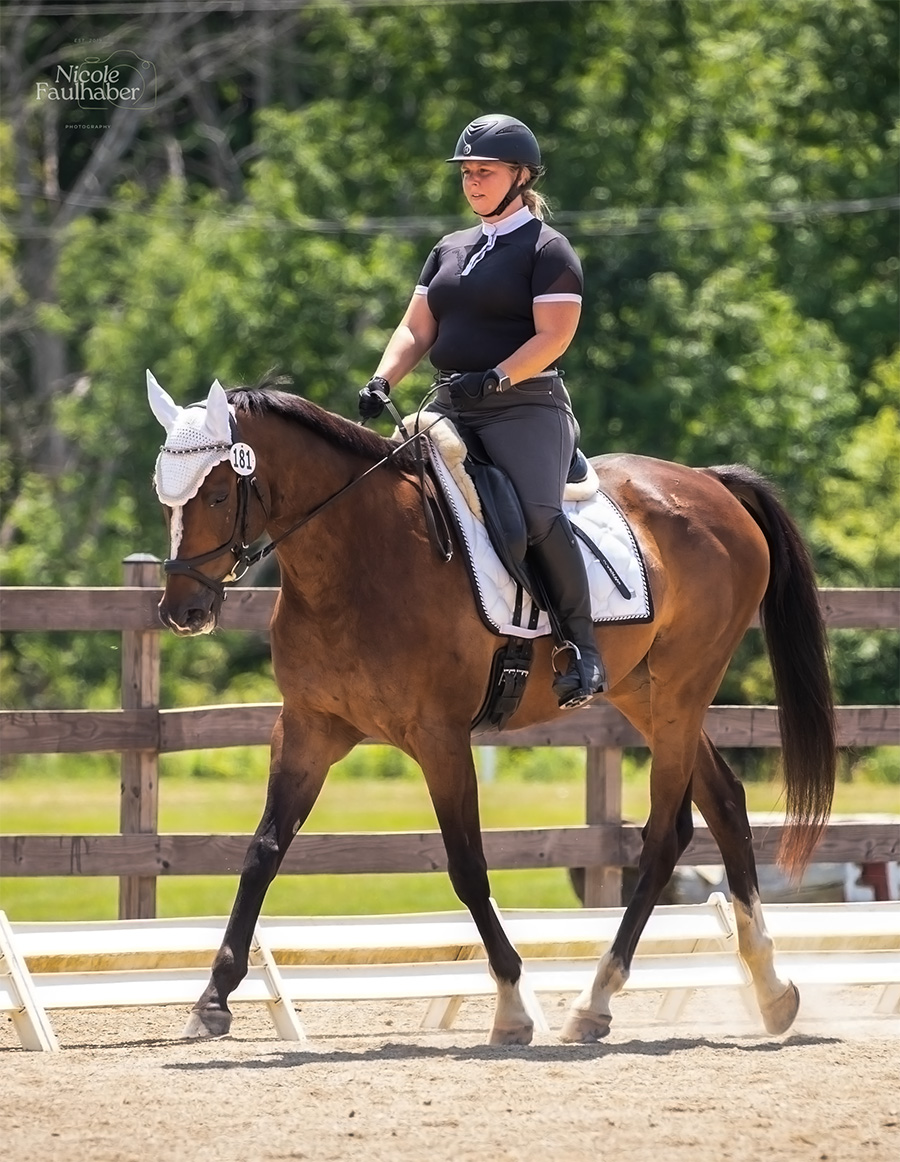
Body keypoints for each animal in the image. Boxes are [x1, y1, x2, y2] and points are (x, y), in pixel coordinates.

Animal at [148, 376, 836, 1050]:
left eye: (216, 494)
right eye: (165, 499)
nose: (182, 612)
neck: (357, 556)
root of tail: (710, 483)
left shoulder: (440, 739)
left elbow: (468, 865)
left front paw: (512, 1005)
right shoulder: (306, 729)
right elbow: (263, 851)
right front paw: (212, 999)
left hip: (680, 691)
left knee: (666, 834)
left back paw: (597, 1000)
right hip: (646, 694)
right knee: (724, 802)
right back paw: (771, 991)